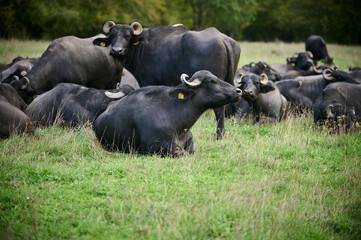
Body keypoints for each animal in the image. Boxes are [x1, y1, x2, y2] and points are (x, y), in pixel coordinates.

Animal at [92, 22, 242, 141]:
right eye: (112, 35)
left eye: (128, 36)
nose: (116, 50)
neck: (142, 47)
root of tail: (223, 39)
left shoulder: (147, 81)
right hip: (228, 81)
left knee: (219, 110)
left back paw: (219, 136)